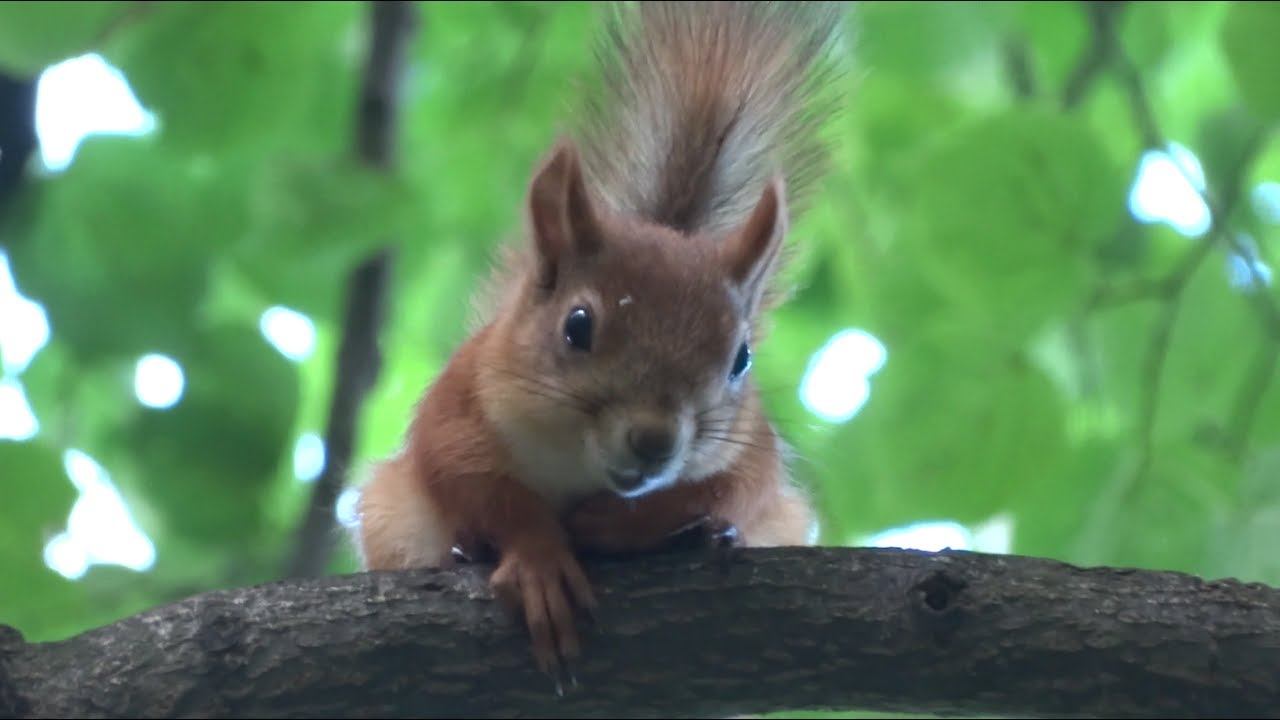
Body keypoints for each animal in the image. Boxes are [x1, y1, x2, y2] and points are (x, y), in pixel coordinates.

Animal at [355, 0, 848, 684]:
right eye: (577, 325)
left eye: (741, 359)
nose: (655, 441)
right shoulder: (458, 401)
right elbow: (477, 484)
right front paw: (538, 561)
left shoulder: (751, 442)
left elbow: (740, 486)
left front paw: (635, 523)